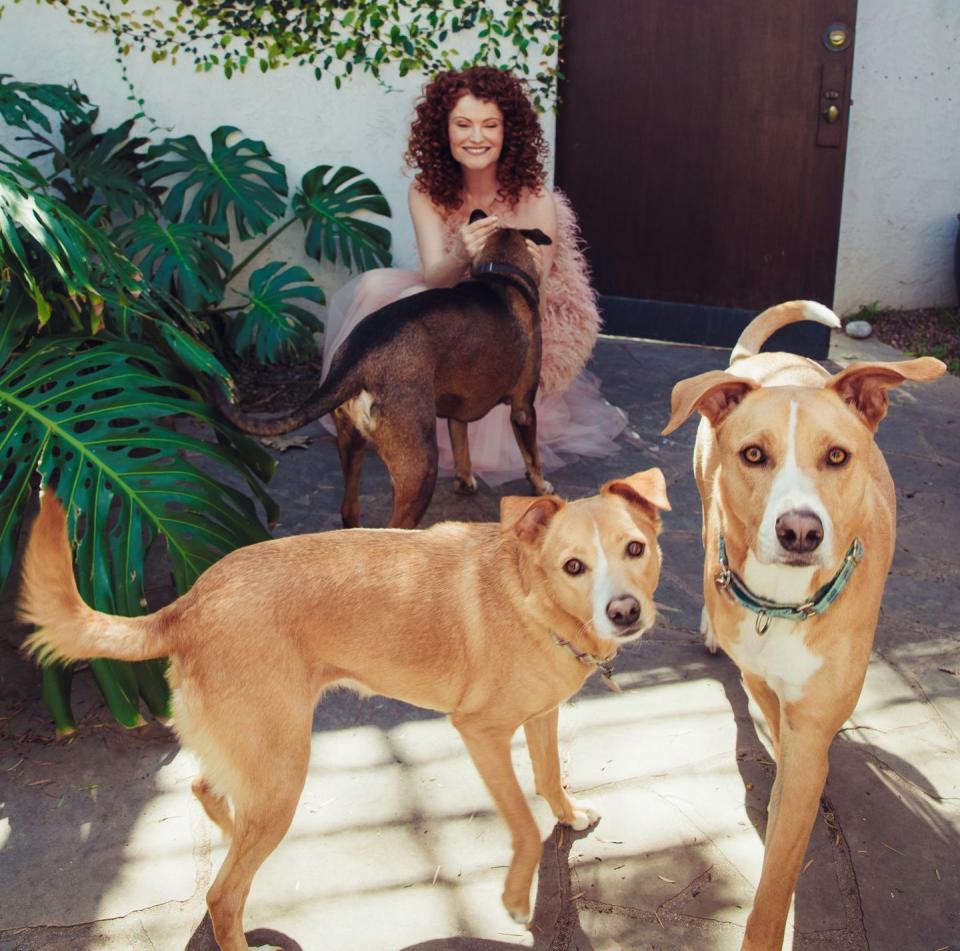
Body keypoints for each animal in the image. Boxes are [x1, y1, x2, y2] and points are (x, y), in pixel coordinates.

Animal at [18, 470, 672, 951]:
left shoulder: (540, 716)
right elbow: (524, 824)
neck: (532, 594)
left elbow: (548, 776)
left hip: (260, 760)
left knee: (209, 792)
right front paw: (517, 898)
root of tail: (187, 604)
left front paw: (568, 814)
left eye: (635, 549)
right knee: (221, 896)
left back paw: (233, 833)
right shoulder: (480, 732)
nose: (624, 611)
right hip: (285, 767)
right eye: (573, 566)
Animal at [213, 212, 552, 532]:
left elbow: (461, 446)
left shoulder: (458, 412)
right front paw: (541, 486)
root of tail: (359, 359)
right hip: (419, 467)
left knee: (349, 510)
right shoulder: (524, 408)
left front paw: (466, 481)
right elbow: (532, 456)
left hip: (351, 445)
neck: (502, 274)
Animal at [660, 302, 944, 948]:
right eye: (753, 455)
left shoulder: (812, 729)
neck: (786, 606)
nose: (800, 532)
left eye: (837, 456)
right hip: (704, 499)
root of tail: (758, 360)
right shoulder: (765, 683)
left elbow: (781, 865)